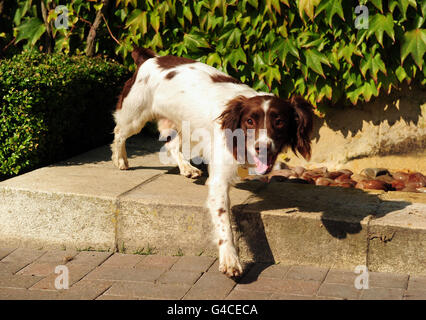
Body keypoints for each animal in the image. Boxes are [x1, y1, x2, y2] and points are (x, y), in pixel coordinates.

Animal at [111, 47, 314, 278]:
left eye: (279, 121)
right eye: (249, 121)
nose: (262, 147)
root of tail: (150, 58)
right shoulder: (219, 181)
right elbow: (224, 221)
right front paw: (230, 259)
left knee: (172, 144)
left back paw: (187, 168)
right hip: (135, 116)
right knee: (119, 132)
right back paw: (120, 159)